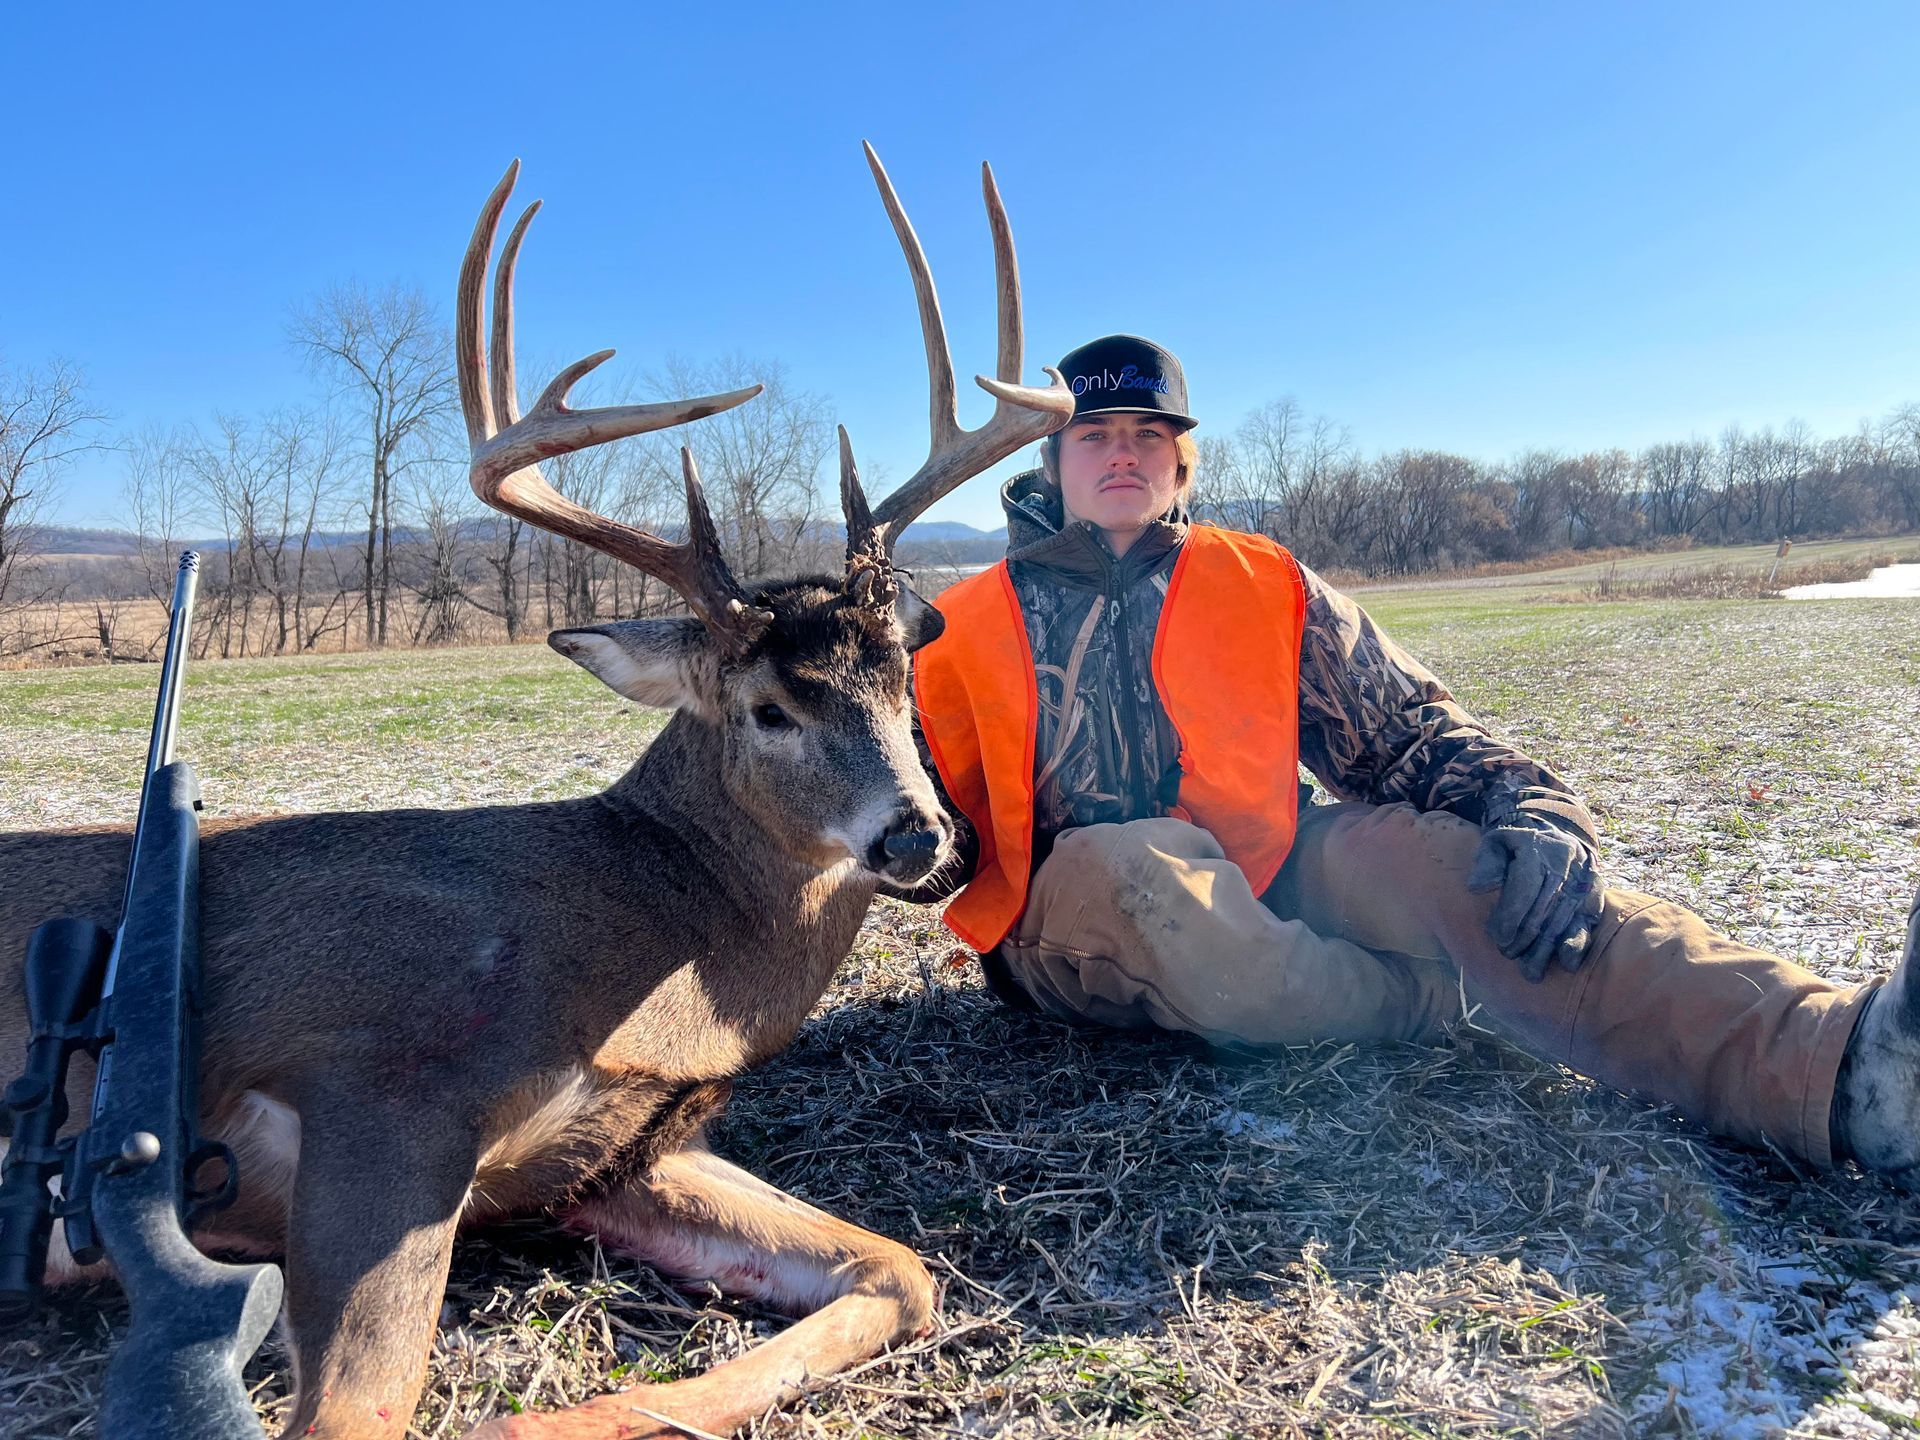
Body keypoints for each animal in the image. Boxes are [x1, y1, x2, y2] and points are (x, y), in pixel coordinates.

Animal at [0, 146, 1072, 1440]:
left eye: (904, 673)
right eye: (768, 709)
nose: (923, 837)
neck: (652, 945)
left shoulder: (612, 1157)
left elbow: (899, 1268)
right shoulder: (384, 1084)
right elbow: (356, 1408)